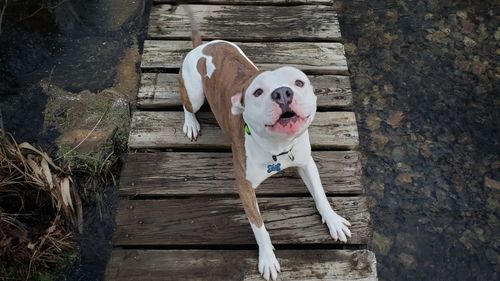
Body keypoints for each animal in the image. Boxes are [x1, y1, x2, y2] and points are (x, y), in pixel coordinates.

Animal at [179, 30, 352, 280]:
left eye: (299, 82)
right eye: (258, 92)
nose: (282, 93)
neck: (277, 147)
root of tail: (201, 47)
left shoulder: (306, 162)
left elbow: (320, 195)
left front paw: (333, 220)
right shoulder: (245, 187)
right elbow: (259, 227)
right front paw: (268, 258)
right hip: (194, 94)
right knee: (187, 104)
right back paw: (191, 123)